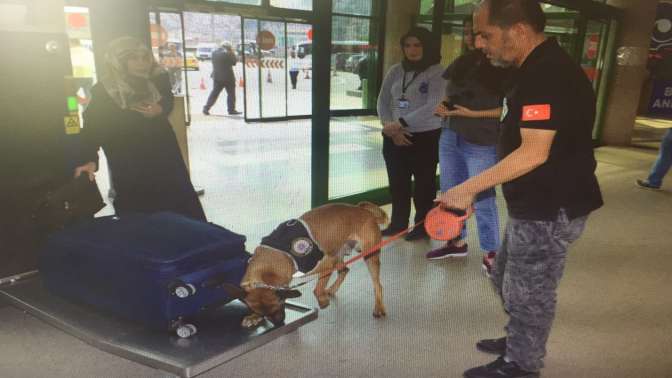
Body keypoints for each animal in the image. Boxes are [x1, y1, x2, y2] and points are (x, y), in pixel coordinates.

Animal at [222, 201, 388, 328]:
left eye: (279, 305)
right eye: (263, 313)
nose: (279, 323)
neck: (270, 260)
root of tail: (361, 209)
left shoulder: (327, 263)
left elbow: (317, 289)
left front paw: (322, 301)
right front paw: (253, 317)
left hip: (368, 256)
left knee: (378, 285)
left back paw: (378, 307)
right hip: (337, 253)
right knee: (344, 270)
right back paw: (332, 289)